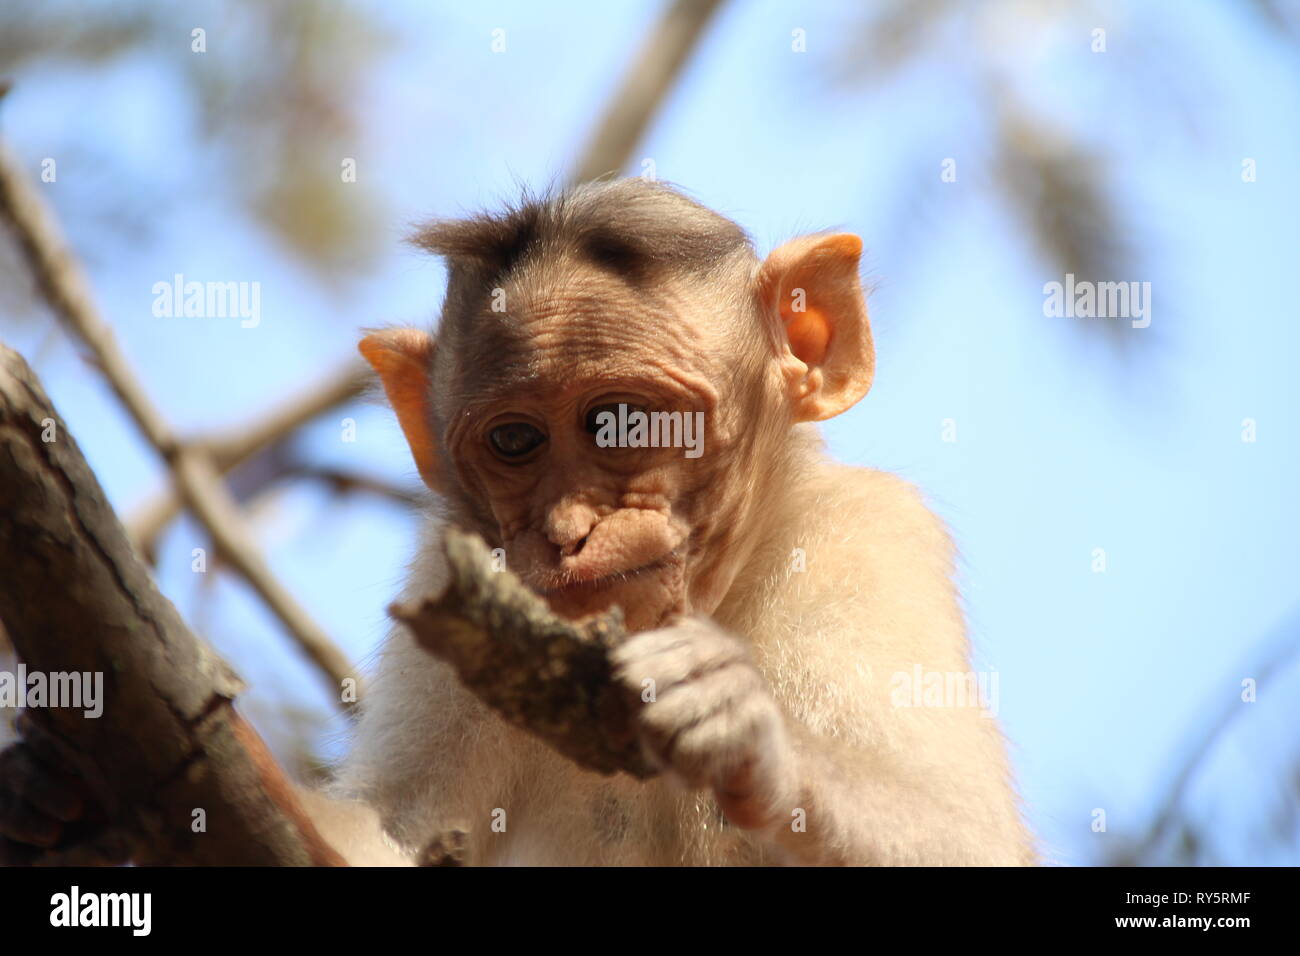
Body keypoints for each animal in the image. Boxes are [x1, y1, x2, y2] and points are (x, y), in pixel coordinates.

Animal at [0, 179, 1035, 866]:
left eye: (625, 424)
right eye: (514, 439)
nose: (570, 530)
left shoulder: (868, 536)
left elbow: (967, 843)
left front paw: (743, 727)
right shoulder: (451, 578)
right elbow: (393, 837)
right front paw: (53, 796)